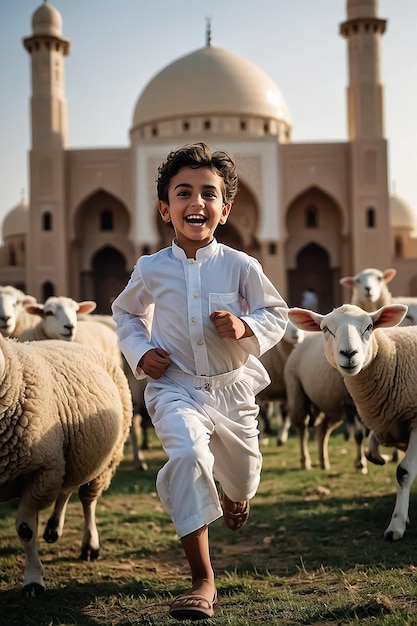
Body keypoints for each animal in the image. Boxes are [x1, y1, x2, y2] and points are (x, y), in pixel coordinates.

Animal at [0, 334, 132, 592]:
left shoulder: (43, 470)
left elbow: (26, 530)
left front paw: (33, 580)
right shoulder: (49, 470)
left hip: (103, 460)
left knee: (87, 500)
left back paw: (90, 545)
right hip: (73, 454)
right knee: (66, 488)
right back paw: (53, 529)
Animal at [288, 300, 417, 540]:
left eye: (369, 326)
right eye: (325, 329)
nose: (349, 353)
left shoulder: (414, 421)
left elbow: (404, 472)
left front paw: (396, 525)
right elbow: (370, 446)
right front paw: (375, 458)